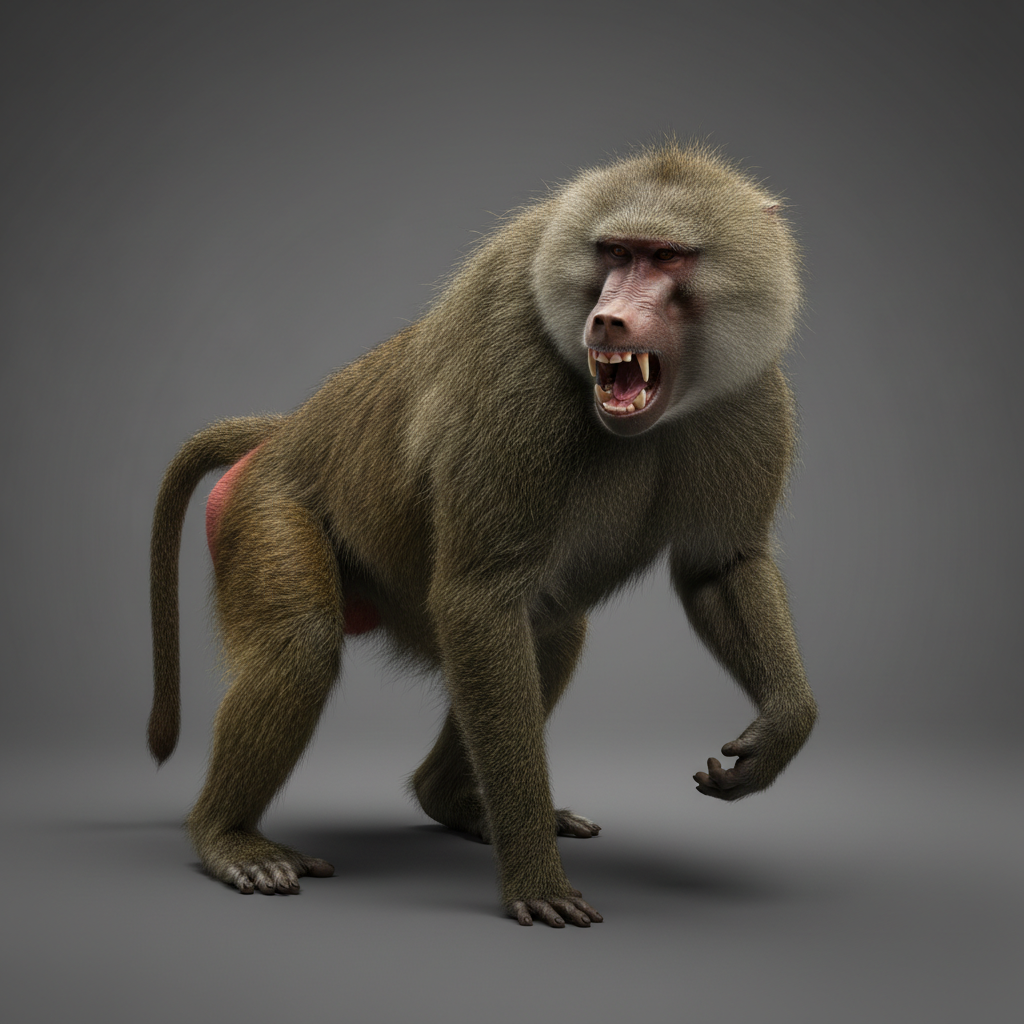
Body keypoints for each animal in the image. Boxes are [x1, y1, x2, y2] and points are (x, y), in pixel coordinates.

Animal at [149, 141, 816, 928]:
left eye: (666, 257)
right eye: (614, 253)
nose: (609, 321)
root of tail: (286, 434)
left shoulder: (753, 397)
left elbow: (721, 568)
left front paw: (781, 729)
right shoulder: (517, 378)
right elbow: (479, 598)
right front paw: (534, 876)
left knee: (551, 629)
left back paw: (453, 802)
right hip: (267, 507)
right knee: (303, 643)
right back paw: (229, 838)